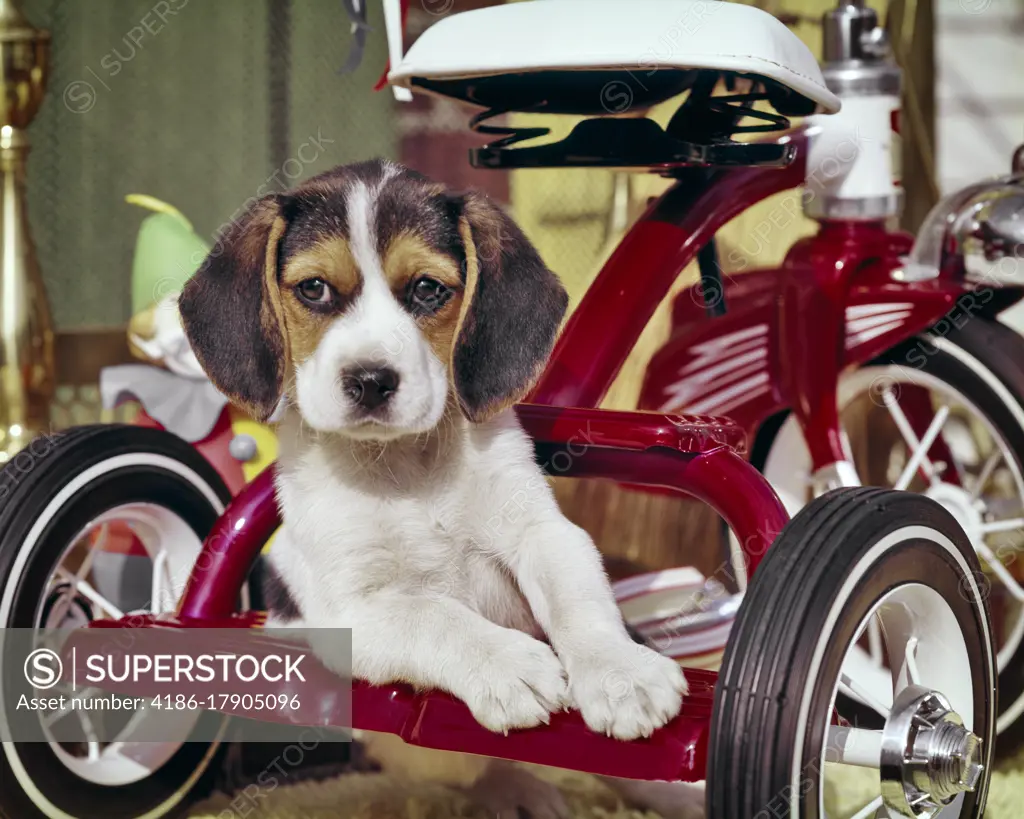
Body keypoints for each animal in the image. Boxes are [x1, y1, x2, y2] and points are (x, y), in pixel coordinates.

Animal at [180, 161, 700, 818]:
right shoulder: (352, 608)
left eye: (428, 290)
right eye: (314, 289)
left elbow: (577, 600)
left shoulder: (542, 533)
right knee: (472, 767)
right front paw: (508, 664)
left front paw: (618, 672)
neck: (407, 468)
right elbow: (435, 613)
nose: (371, 380)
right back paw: (514, 788)